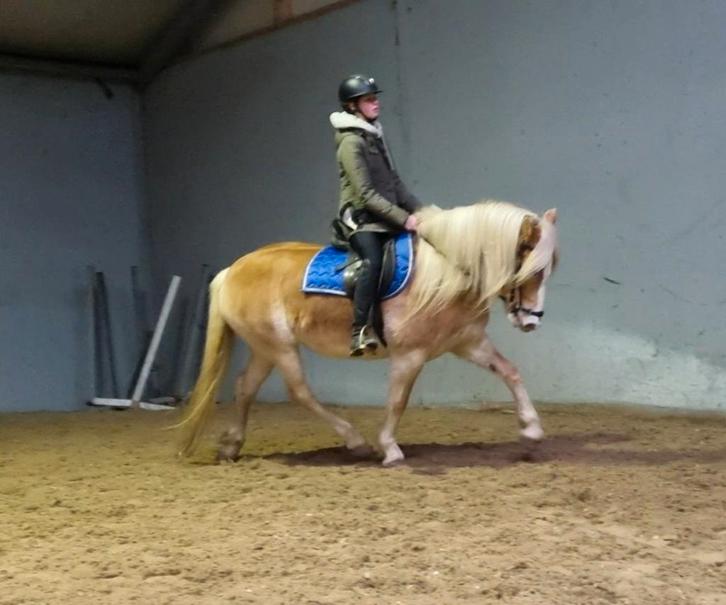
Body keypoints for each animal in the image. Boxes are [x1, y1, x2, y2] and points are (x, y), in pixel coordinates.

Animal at [178, 200, 559, 466]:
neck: (444, 271)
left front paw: (532, 430)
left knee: (245, 387)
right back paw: (356, 441)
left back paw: (231, 445)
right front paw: (390, 448)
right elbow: (398, 400)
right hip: (279, 346)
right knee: (299, 392)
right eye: (532, 269)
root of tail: (233, 269)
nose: (532, 320)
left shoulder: (468, 342)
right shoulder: (409, 355)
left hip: (264, 348)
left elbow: (509, 371)